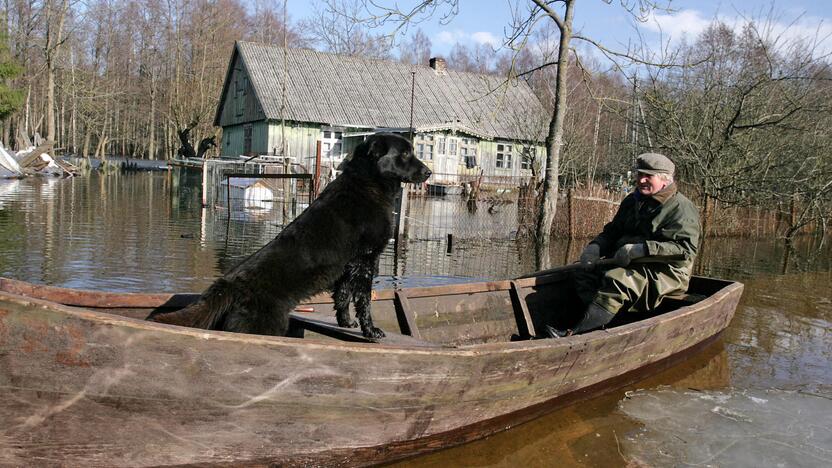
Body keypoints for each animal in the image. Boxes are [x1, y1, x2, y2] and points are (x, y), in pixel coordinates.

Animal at [150, 133, 432, 338]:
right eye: (405, 153)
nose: (429, 172)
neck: (367, 184)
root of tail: (230, 284)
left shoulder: (348, 266)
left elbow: (342, 297)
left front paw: (346, 323)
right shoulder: (365, 260)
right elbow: (363, 301)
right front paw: (370, 331)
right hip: (266, 325)